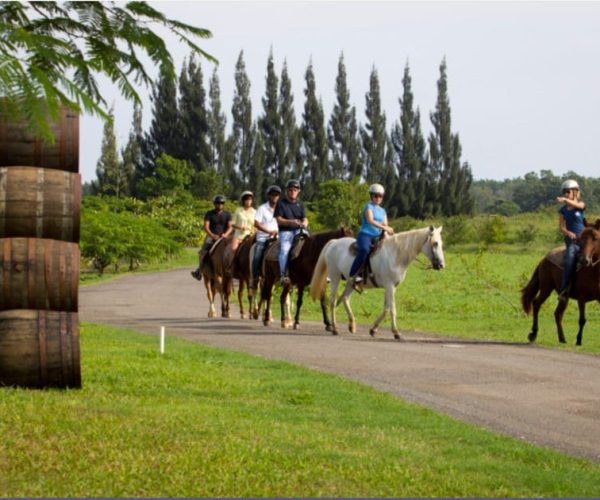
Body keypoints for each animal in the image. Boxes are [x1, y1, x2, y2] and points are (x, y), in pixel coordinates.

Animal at [310, 227, 446, 340]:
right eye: (435, 243)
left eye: (440, 243)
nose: (441, 265)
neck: (395, 255)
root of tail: (334, 242)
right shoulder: (389, 286)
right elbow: (392, 309)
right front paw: (396, 332)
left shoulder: (391, 287)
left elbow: (386, 308)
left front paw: (373, 329)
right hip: (335, 277)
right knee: (333, 301)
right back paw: (335, 328)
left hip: (350, 281)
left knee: (345, 298)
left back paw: (352, 325)